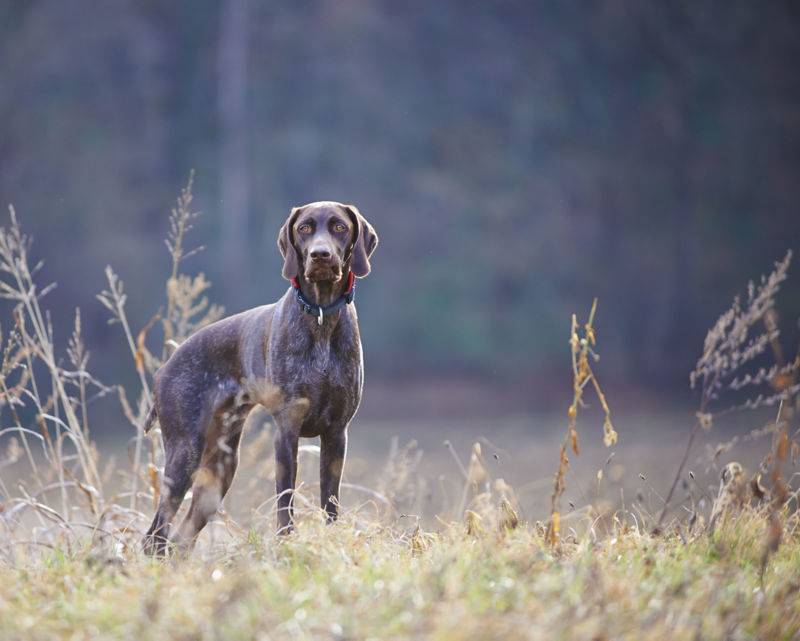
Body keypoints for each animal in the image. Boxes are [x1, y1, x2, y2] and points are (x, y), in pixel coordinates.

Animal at [141, 201, 378, 556]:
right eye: (304, 228)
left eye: (339, 227)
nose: (320, 255)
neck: (321, 318)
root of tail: (164, 367)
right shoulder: (286, 432)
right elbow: (285, 502)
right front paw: (286, 543)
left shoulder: (337, 434)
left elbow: (330, 503)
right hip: (185, 455)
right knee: (155, 535)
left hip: (220, 470)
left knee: (181, 538)